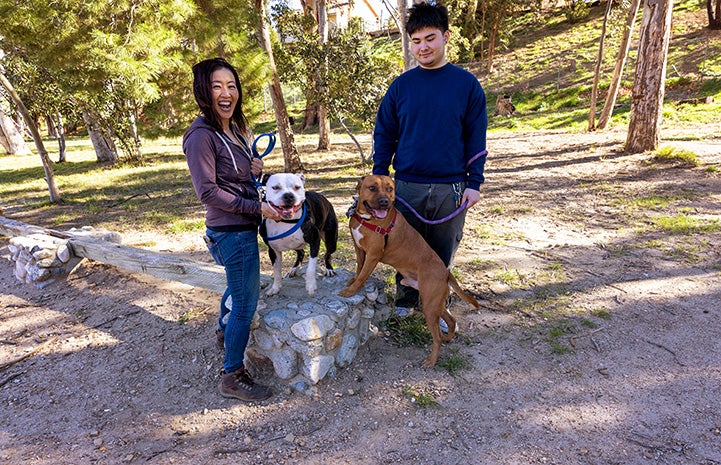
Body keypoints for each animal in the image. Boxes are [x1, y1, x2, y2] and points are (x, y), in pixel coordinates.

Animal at [338, 174, 478, 366]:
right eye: (372, 187)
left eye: (390, 189)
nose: (384, 202)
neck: (368, 219)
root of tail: (446, 272)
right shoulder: (359, 248)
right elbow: (359, 268)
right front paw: (352, 280)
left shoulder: (373, 255)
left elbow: (362, 276)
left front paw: (351, 290)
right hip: (435, 302)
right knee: (451, 320)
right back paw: (449, 337)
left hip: (429, 305)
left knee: (437, 337)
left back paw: (431, 361)